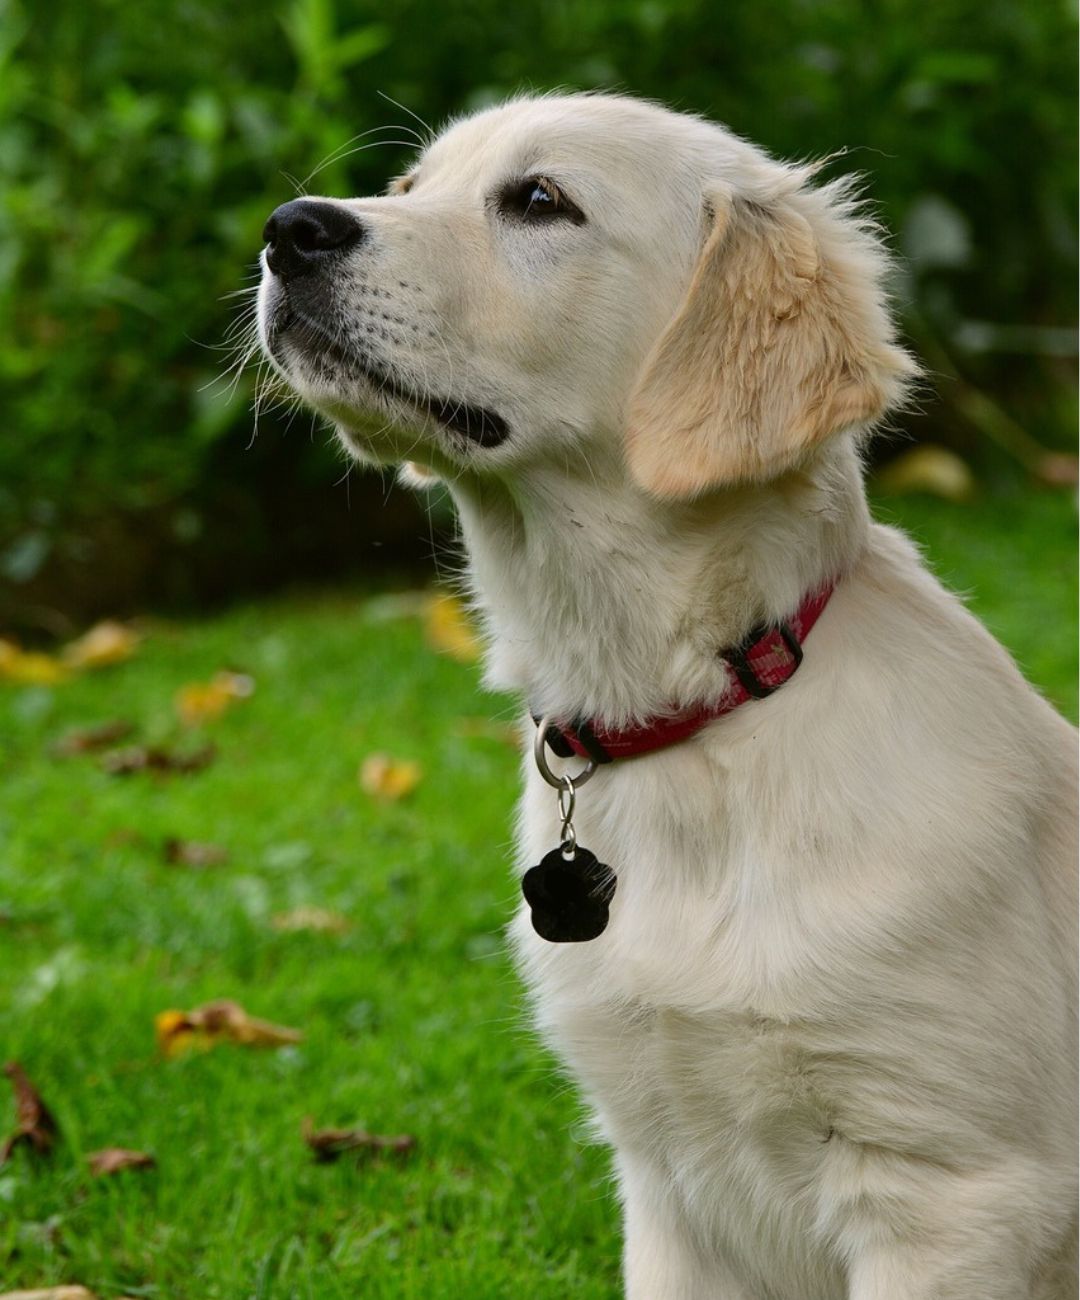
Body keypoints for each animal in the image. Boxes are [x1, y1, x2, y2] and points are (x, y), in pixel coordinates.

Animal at [257, 94, 1076, 1300]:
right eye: (407, 188)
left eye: (539, 199)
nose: (289, 229)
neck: (700, 713)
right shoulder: (666, 1179)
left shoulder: (953, 1193)